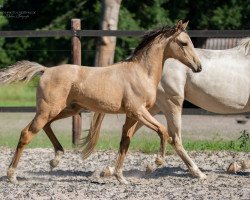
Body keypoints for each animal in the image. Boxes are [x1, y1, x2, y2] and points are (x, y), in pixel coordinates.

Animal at [0, 19, 201, 184]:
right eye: (184, 43)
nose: (198, 67)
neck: (141, 73)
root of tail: (46, 70)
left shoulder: (131, 115)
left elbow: (125, 142)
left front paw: (120, 177)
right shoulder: (138, 111)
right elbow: (163, 131)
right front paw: (153, 164)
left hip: (67, 110)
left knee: (46, 126)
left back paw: (56, 158)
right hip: (48, 110)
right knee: (27, 133)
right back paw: (12, 175)